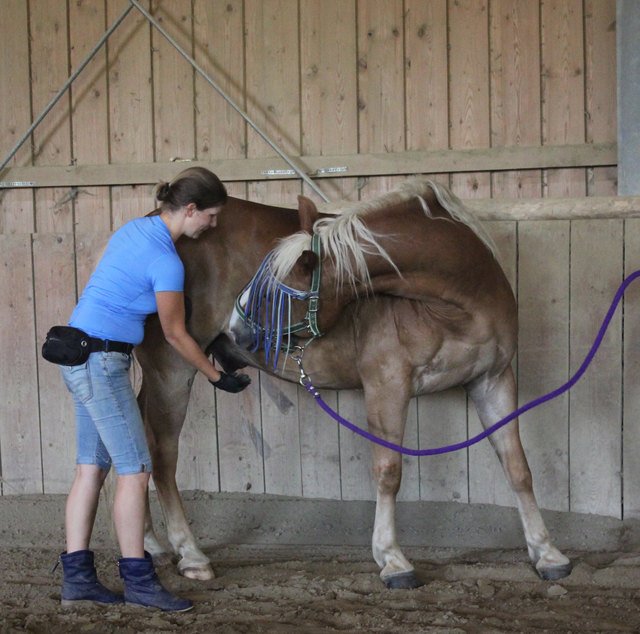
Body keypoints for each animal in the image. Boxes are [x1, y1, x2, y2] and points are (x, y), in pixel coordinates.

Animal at [135, 178, 572, 589]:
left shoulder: (492, 380)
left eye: (274, 288)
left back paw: (150, 545)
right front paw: (393, 559)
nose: (236, 329)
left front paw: (547, 552)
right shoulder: (387, 385)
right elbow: (389, 471)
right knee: (161, 456)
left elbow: (517, 468)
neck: (458, 303)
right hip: (171, 371)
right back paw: (190, 555)